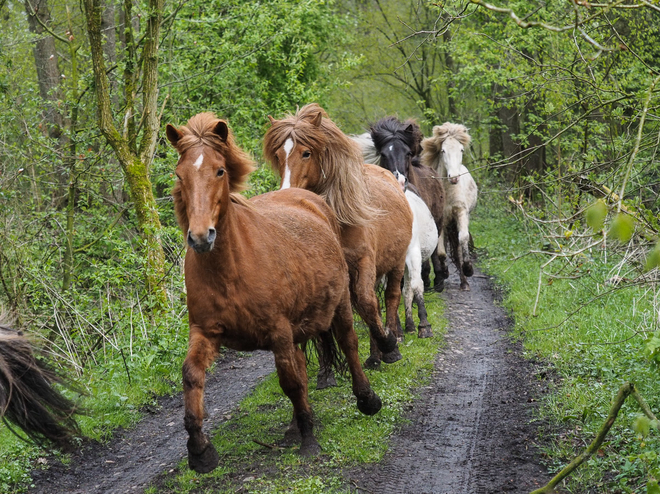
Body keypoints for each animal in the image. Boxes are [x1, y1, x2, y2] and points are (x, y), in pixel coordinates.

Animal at [166, 113, 382, 474]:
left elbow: (290, 382)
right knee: (301, 365)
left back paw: (366, 399)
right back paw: (295, 424)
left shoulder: (278, 331)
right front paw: (199, 450)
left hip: (338, 305)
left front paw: (309, 441)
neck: (229, 269)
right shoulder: (205, 332)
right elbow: (191, 376)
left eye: (219, 171)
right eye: (179, 174)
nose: (199, 237)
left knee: (348, 343)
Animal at [262, 103, 412, 370]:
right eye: (278, 156)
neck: (339, 218)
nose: (287, 192)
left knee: (390, 297)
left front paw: (389, 344)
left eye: (306, 153)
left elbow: (367, 302)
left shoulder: (363, 261)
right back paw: (374, 356)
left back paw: (392, 342)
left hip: (396, 263)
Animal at [356, 117, 448, 292]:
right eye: (383, 154)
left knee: (433, 251)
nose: (399, 181)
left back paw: (437, 279)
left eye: (408, 153)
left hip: (438, 222)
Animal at [420, 123, 476, 292]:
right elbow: (440, 252)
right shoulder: (441, 220)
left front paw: (468, 269)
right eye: (443, 150)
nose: (454, 178)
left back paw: (464, 282)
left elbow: (463, 238)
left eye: (461, 150)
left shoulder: (461, 212)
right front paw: (444, 272)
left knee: (457, 248)